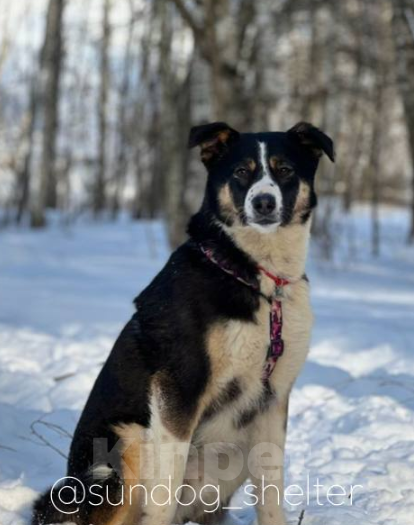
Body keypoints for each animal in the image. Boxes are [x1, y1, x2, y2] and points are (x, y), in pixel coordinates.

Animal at [34, 121, 334, 524]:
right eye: (241, 172)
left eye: (284, 169)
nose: (263, 203)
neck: (259, 280)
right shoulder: (180, 389)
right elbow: (163, 495)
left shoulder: (273, 400)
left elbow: (271, 497)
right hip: (123, 449)